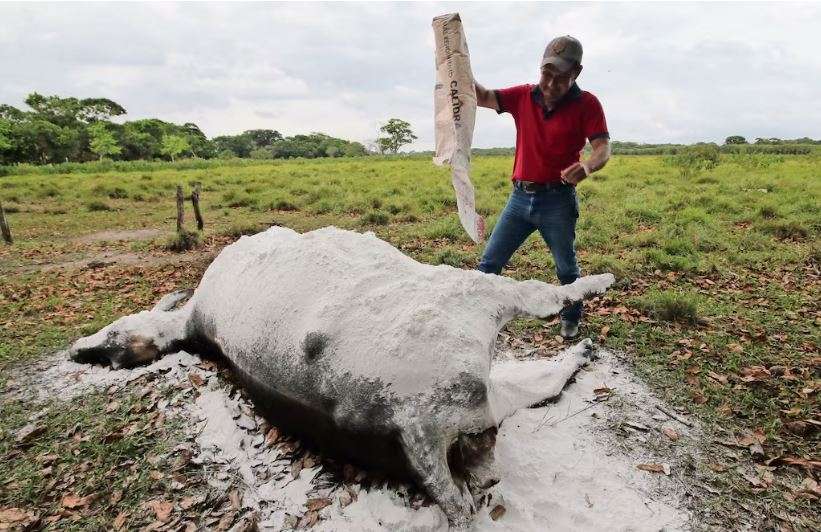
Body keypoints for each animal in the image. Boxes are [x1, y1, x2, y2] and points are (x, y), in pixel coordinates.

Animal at [67, 225, 612, 528]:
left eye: (113, 336)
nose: (79, 352)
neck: (195, 323)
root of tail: (408, 425)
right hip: (468, 301)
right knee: (543, 297)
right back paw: (598, 286)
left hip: (477, 389)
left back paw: (582, 349)